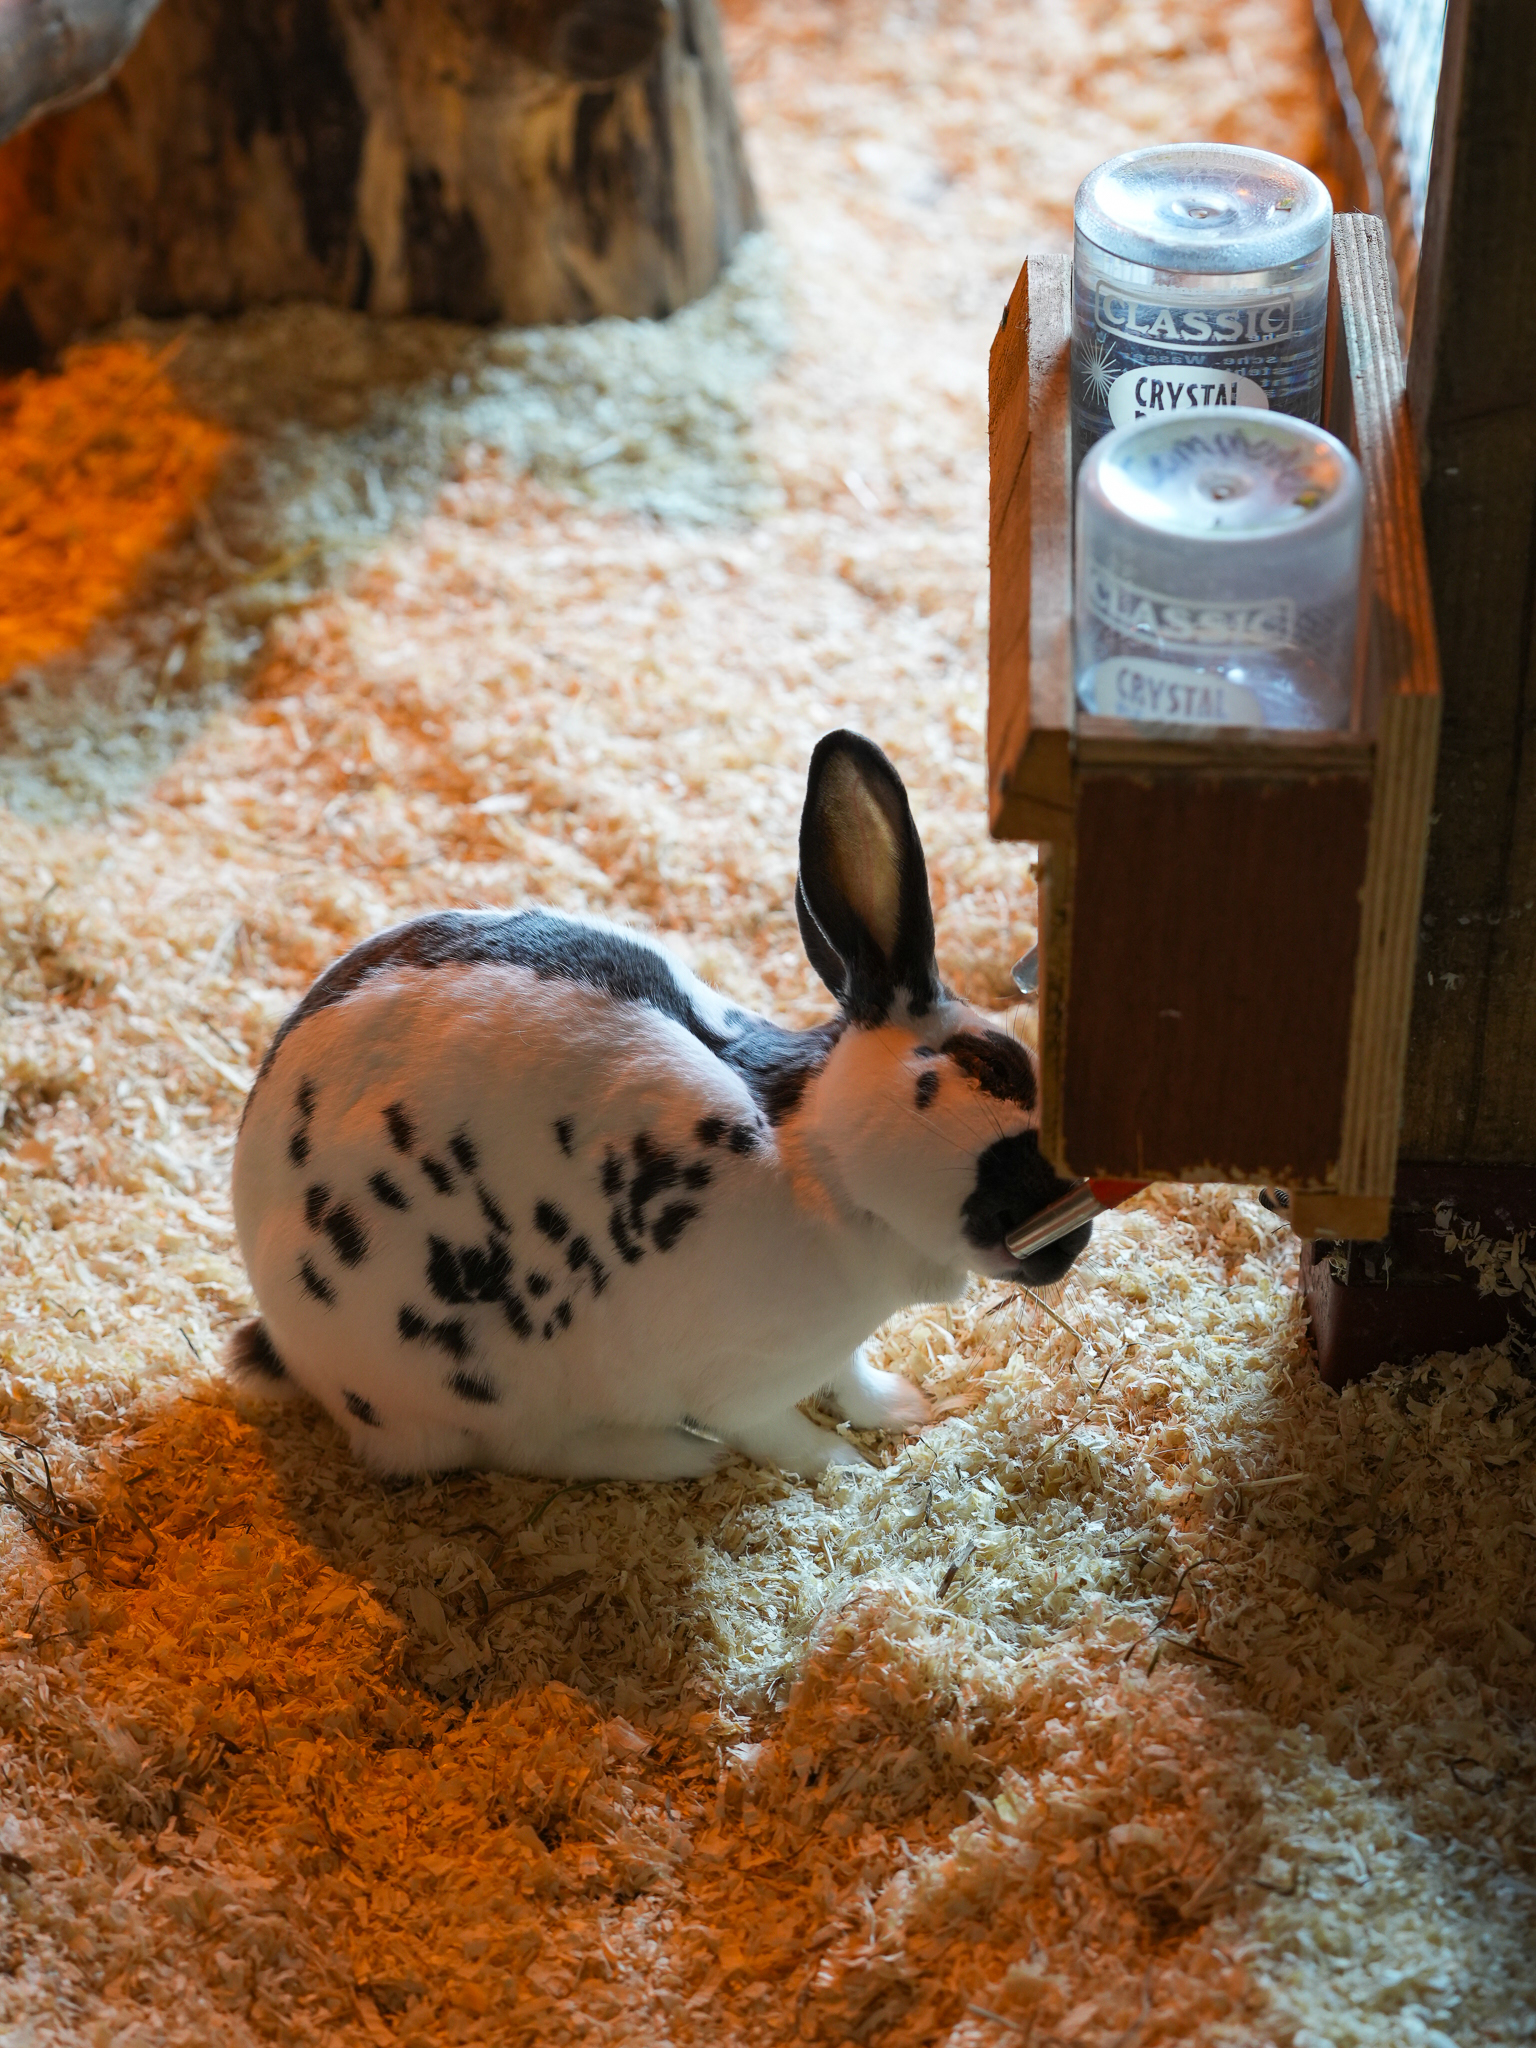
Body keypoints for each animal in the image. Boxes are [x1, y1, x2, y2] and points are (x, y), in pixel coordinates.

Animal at [228, 729, 1097, 1482]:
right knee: (533, 1449)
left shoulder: (835, 1351)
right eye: (993, 1067)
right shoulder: (745, 1387)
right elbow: (785, 1434)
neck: (828, 1170)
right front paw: (848, 1467)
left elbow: (853, 1382)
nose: (1073, 1241)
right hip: (481, 1380)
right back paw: (676, 1458)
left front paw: (907, 1407)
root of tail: (292, 1345)